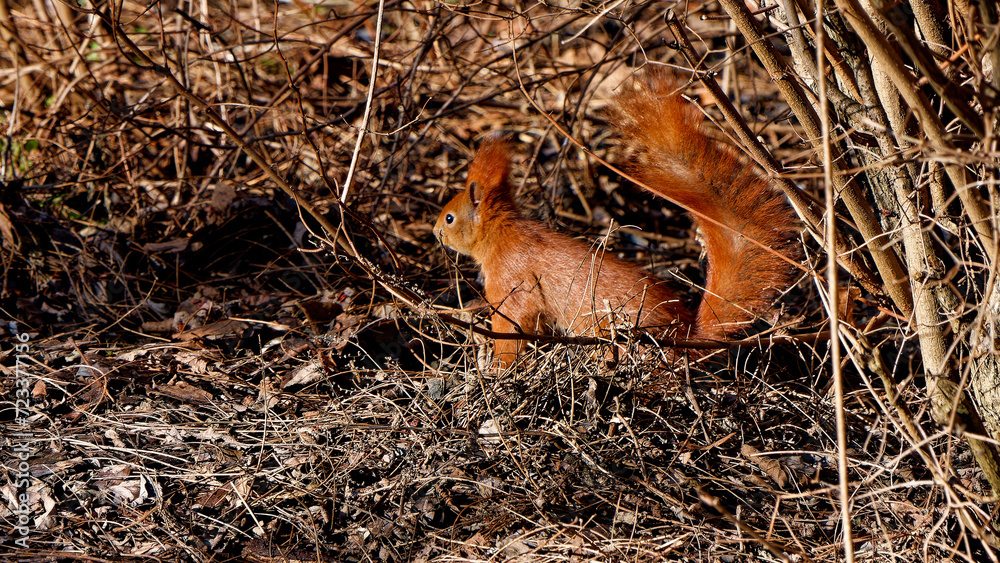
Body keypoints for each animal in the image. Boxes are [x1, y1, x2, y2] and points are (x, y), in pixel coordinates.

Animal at [434, 74, 801, 367]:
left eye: (450, 217)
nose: (436, 231)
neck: (501, 235)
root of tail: (684, 337)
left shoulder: (510, 286)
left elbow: (511, 330)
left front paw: (497, 368)